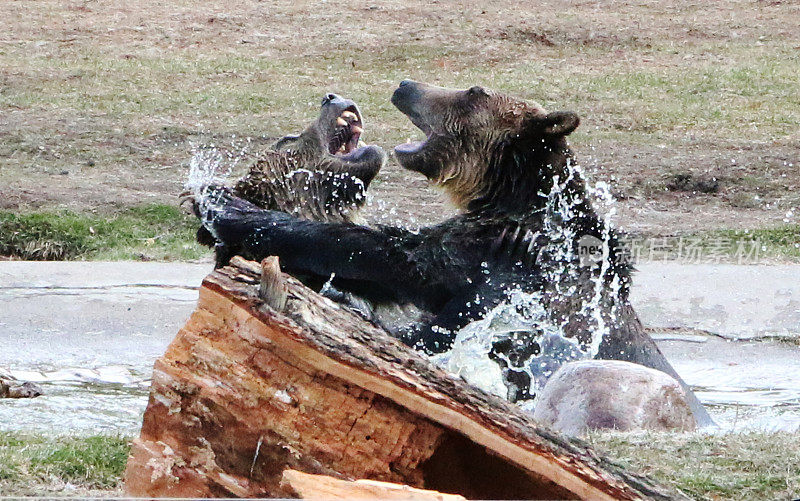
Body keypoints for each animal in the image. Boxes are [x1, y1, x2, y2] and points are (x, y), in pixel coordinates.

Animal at [200, 82, 712, 426]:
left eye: (472, 91)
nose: (405, 85)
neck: (513, 198)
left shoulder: (503, 261)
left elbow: (388, 257)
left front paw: (230, 210)